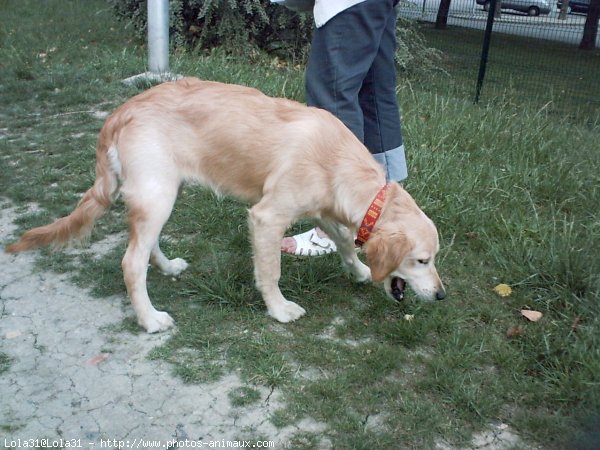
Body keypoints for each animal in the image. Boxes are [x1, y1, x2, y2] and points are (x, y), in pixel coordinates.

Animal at [4, 77, 446, 332]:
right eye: (422, 261)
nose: (442, 296)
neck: (338, 160)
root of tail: (122, 111)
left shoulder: (324, 210)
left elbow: (342, 241)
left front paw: (358, 270)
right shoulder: (267, 217)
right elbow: (270, 271)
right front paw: (279, 309)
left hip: (161, 193)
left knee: (145, 246)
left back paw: (167, 267)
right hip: (158, 193)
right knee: (131, 262)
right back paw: (150, 319)